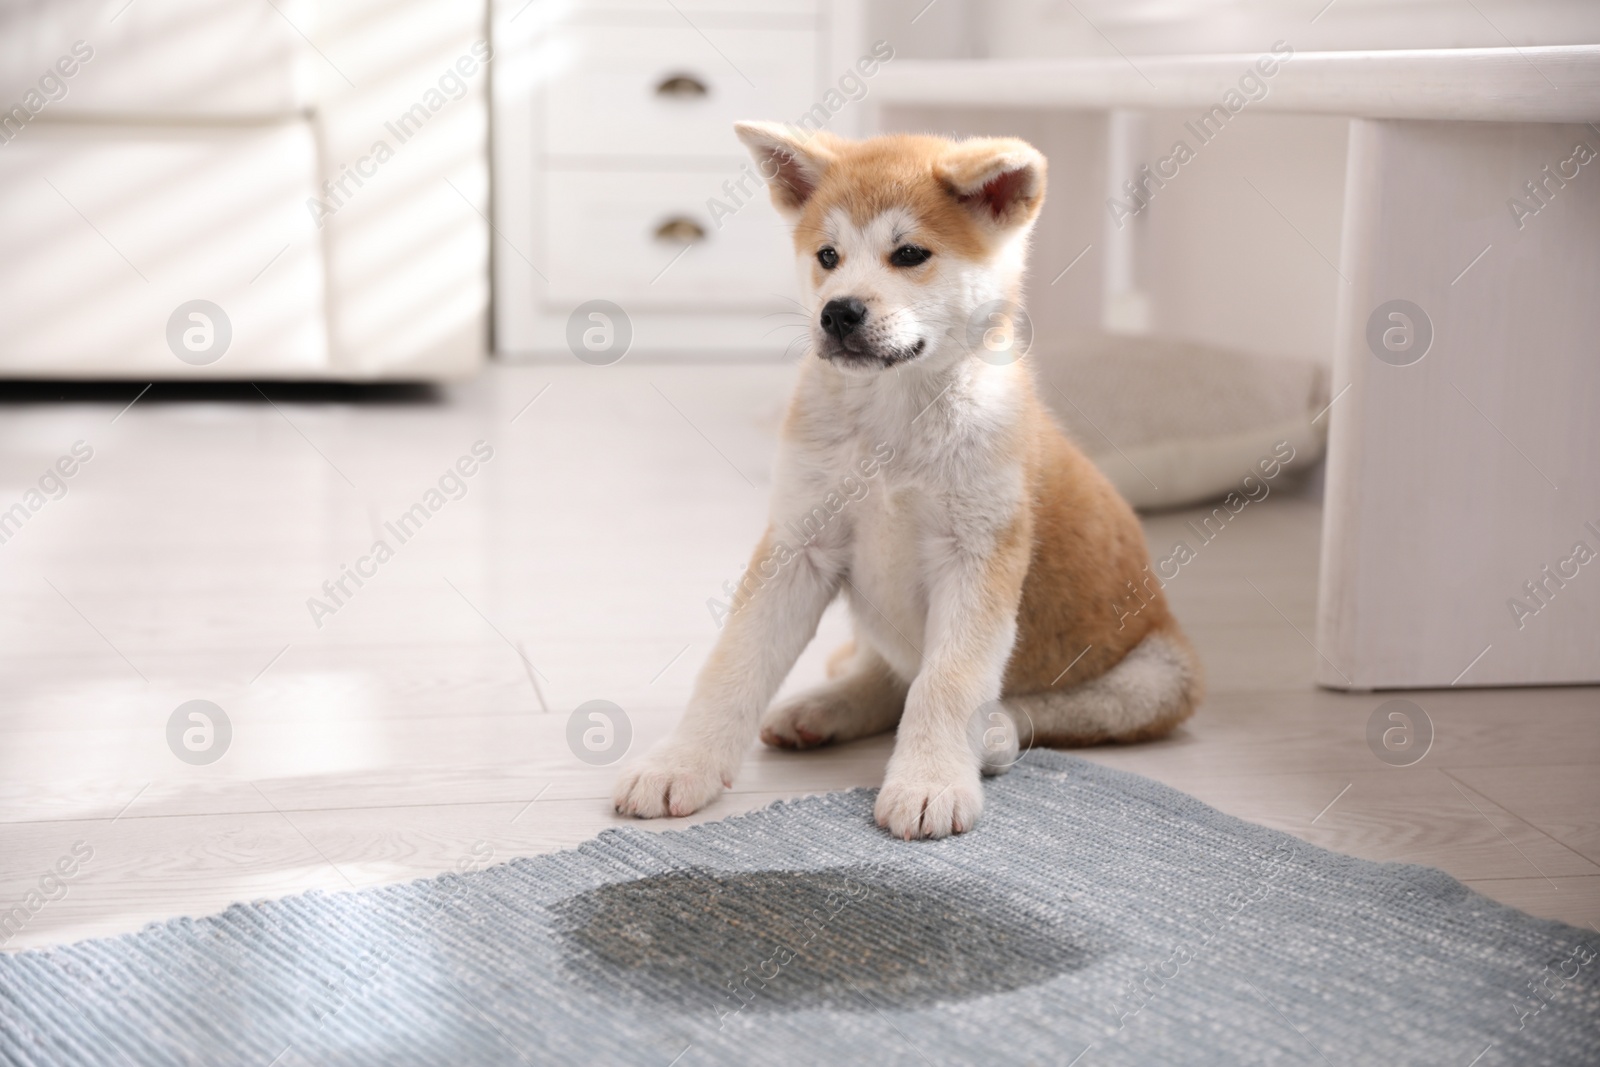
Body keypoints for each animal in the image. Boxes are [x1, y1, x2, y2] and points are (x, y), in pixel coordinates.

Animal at [611, 125, 1203, 838]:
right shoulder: (799, 545)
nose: (838, 313)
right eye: (828, 255)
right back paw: (824, 708)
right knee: (885, 675)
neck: (893, 422)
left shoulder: (977, 555)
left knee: (1038, 707)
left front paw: (930, 781)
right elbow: (734, 665)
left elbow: (948, 682)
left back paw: (995, 736)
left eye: (910, 254)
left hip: (1156, 678)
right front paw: (681, 763)